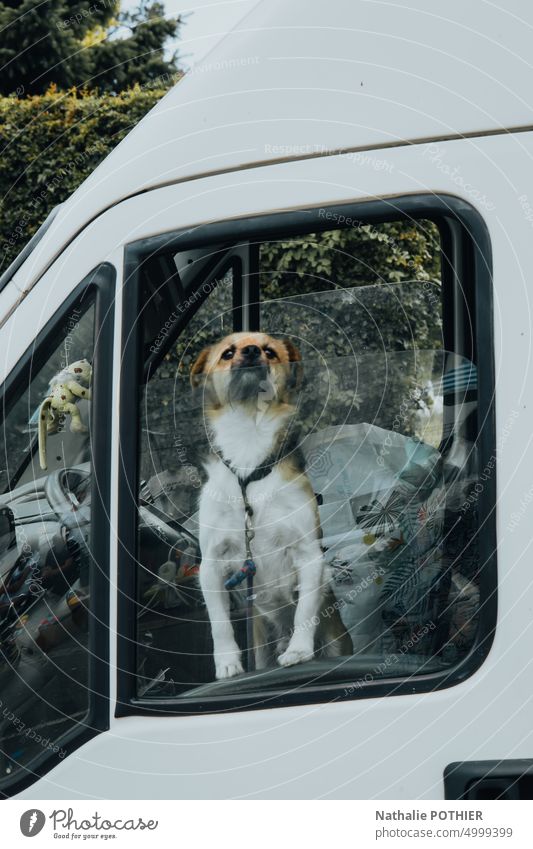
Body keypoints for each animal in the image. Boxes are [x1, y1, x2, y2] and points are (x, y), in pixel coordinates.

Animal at [189, 328, 352, 680]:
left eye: (270, 352)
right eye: (227, 353)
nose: (251, 351)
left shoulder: (308, 555)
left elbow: (304, 610)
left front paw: (299, 651)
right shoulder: (211, 564)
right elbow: (219, 623)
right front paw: (227, 663)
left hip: (335, 638)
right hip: (261, 643)